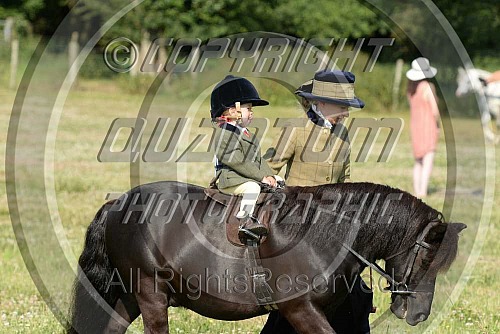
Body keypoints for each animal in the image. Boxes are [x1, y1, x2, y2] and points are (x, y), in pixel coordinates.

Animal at [67, 181, 464, 332]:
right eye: (426, 261)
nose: (420, 314)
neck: (326, 233)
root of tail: (118, 203)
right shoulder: (300, 309)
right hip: (150, 294)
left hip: (130, 296)